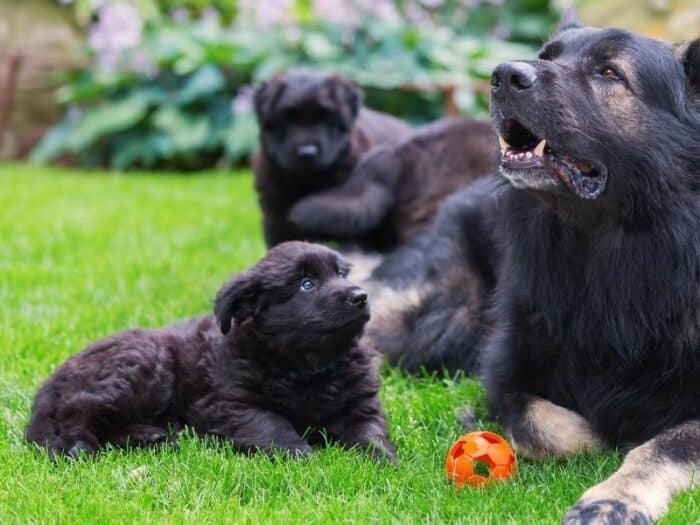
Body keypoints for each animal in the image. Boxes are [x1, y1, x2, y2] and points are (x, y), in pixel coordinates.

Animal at [26, 241, 394, 458]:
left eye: (341, 273)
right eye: (307, 284)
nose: (360, 296)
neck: (308, 365)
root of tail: (53, 381)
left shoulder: (360, 404)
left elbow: (371, 432)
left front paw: (385, 461)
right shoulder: (225, 404)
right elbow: (271, 422)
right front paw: (299, 453)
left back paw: (150, 436)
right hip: (141, 367)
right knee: (80, 407)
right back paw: (77, 446)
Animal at [254, 69, 412, 248]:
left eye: (326, 116)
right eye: (287, 117)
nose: (308, 152)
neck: (308, 180)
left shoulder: (350, 211)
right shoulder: (275, 217)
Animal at [366, 13, 700, 524]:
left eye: (609, 72)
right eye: (547, 57)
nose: (503, 75)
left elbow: (664, 445)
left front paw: (614, 497)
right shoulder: (505, 369)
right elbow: (548, 426)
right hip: (431, 318)